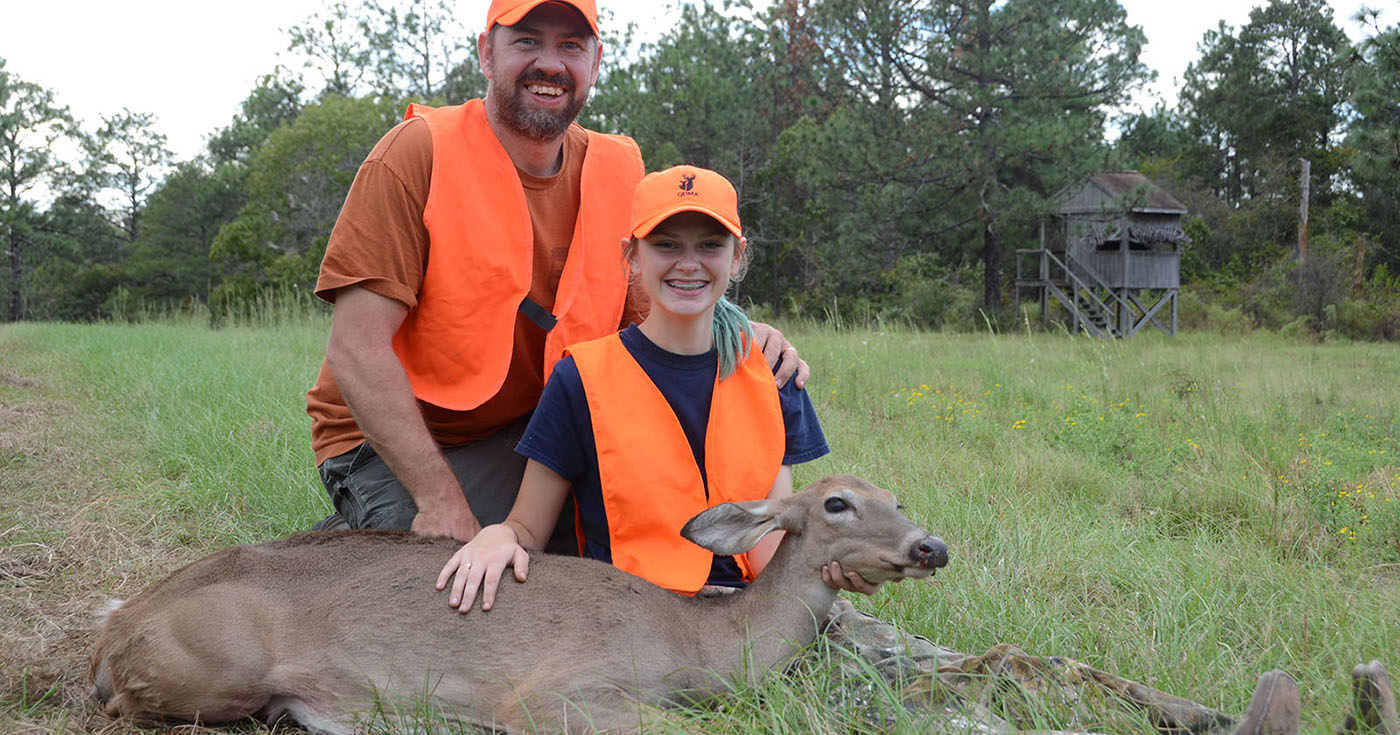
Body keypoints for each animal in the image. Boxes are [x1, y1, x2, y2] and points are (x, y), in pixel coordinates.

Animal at [90, 473, 952, 728]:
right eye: (838, 502)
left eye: (898, 497)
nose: (931, 545)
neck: (695, 642)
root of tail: (117, 623)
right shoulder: (556, 691)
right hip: (218, 664)